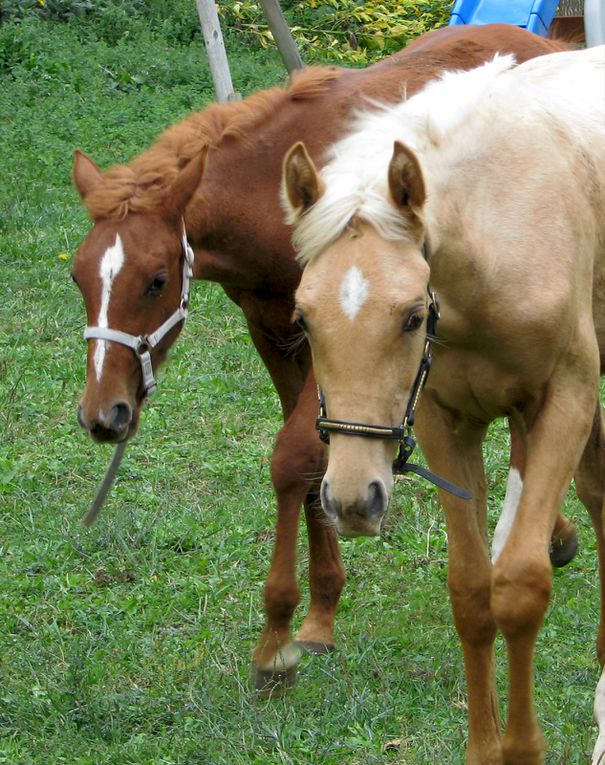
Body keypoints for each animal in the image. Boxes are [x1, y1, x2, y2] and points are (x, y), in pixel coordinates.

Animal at [73, 22, 580, 692]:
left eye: (156, 280)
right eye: (78, 277)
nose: (103, 415)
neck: (265, 196)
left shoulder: (346, 337)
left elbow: (293, 458)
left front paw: (278, 634)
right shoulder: (277, 331)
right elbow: (316, 456)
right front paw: (319, 613)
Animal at [284, 47, 604, 764]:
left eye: (410, 315)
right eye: (304, 317)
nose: (352, 498)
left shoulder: (567, 399)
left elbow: (519, 585)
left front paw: (523, 747)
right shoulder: (442, 423)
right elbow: (472, 592)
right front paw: (487, 747)